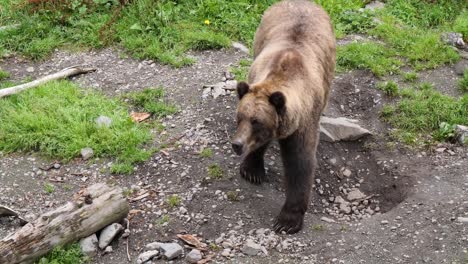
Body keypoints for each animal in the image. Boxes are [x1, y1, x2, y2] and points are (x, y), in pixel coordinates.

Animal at [231, 0, 334, 235]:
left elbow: (300, 164)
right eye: (240, 117)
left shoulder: (304, 123)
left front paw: (286, 221)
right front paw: (252, 171)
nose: (237, 144)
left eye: (256, 121)